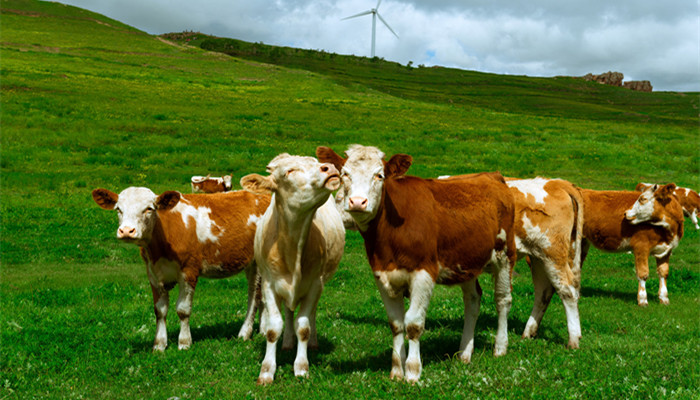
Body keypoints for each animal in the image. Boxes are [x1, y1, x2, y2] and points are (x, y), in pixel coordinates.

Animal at [91, 188, 270, 350]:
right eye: (118, 209)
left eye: (149, 209)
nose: (127, 231)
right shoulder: (152, 273)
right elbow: (160, 310)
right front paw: (159, 344)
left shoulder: (189, 270)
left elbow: (183, 310)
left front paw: (184, 342)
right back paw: (263, 330)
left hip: (257, 262)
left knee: (254, 296)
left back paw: (244, 333)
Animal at [241, 153, 344, 384]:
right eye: (289, 171)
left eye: (316, 163)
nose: (329, 167)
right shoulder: (269, 284)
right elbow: (273, 328)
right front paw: (267, 371)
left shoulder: (315, 284)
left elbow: (303, 326)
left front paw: (302, 367)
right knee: (288, 313)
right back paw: (287, 343)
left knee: (308, 314)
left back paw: (311, 342)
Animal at [316, 145, 516, 382]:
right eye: (345, 174)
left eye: (379, 175)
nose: (357, 202)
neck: (388, 238)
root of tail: (492, 175)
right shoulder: (381, 275)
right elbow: (396, 324)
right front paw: (396, 371)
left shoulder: (424, 273)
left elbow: (413, 323)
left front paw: (412, 371)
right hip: (466, 261)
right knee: (473, 300)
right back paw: (464, 353)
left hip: (505, 254)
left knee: (502, 300)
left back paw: (500, 347)